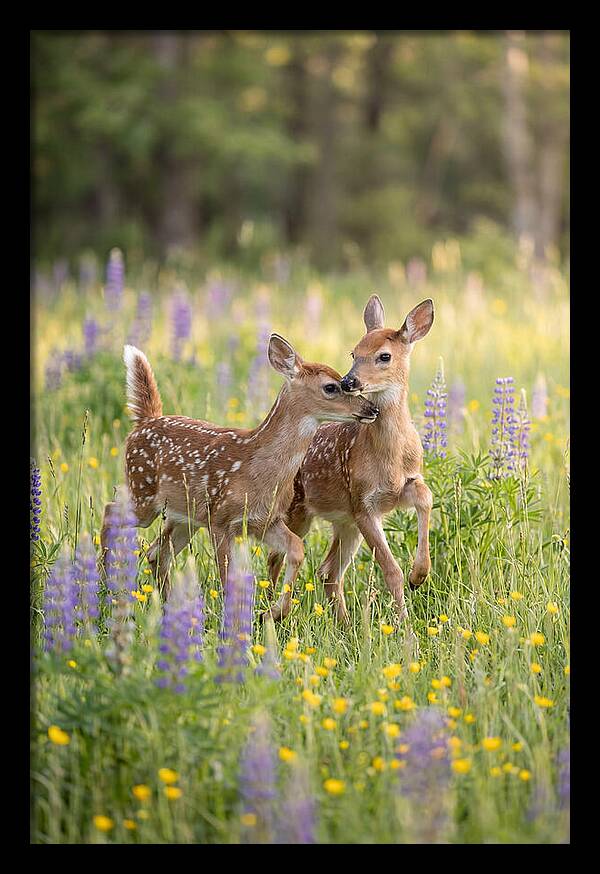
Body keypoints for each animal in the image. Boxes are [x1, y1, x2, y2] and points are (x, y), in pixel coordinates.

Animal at [100, 336, 379, 602]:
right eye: (331, 387)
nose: (372, 409)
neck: (257, 468)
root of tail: (145, 421)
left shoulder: (264, 520)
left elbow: (296, 549)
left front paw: (275, 612)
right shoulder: (221, 520)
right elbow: (228, 578)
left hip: (185, 516)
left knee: (156, 552)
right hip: (143, 491)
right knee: (111, 510)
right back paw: (104, 581)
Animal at [266, 296, 434, 623]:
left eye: (384, 356)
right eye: (354, 352)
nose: (348, 381)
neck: (390, 457)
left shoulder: (399, 489)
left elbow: (425, 496)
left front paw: (419, 574)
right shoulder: (362, 503)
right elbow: (391, 571)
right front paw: (405, 625)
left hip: (344, 523)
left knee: (328, 571)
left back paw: (344, 625)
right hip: (298, 511)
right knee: (276, 558)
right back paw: (267, 611)